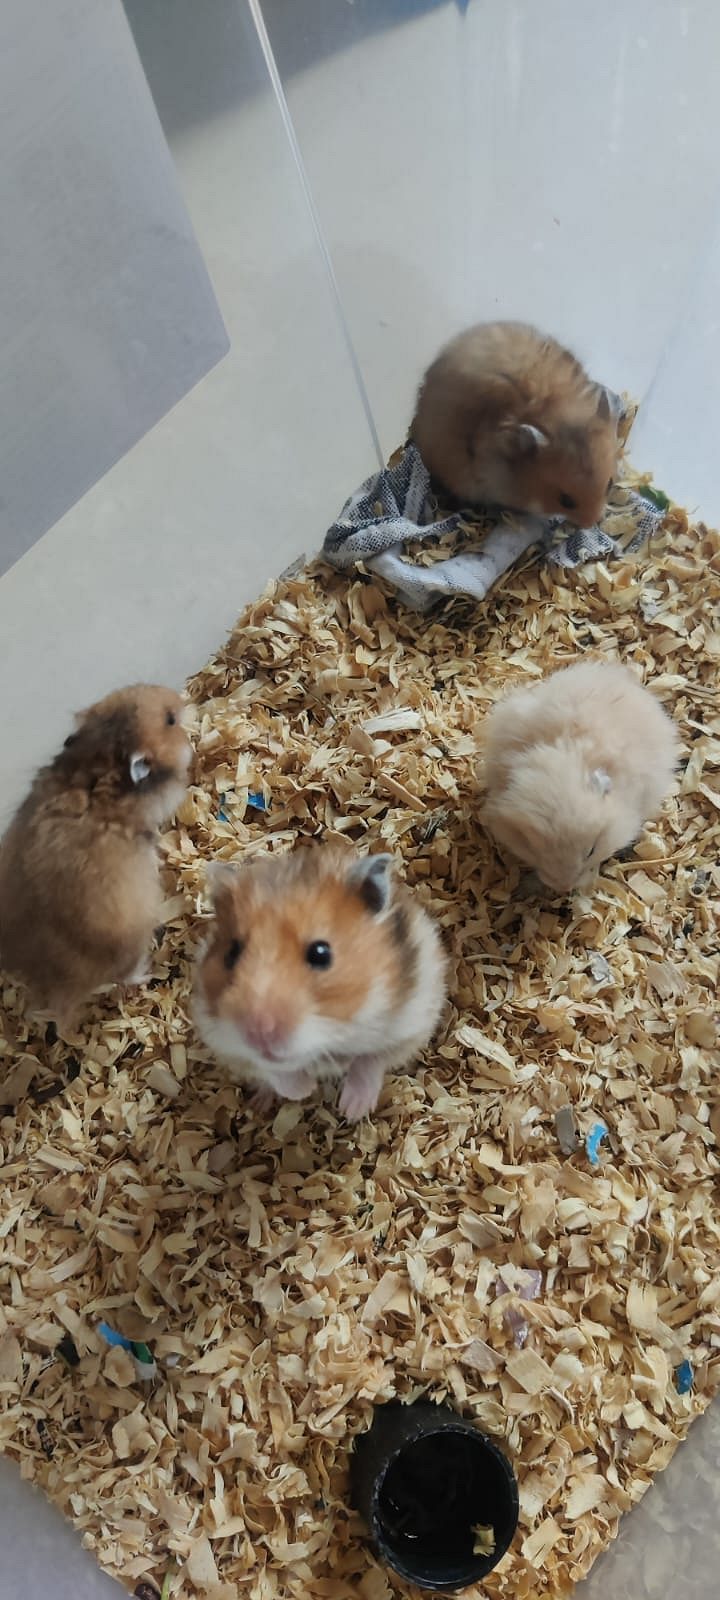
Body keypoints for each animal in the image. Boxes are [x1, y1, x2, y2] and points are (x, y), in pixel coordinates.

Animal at [193, 843, 448, 1121]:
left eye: (321, 953)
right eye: (231, 954)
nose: (258, 1034)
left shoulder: (410, 1024)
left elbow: (369, 1061)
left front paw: (351, 1110)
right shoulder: (225, 1043)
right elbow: (273, 1070)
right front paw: (306, 1089)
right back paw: (260, 1104)